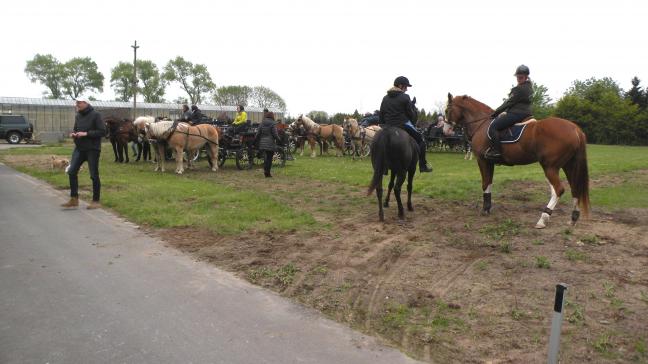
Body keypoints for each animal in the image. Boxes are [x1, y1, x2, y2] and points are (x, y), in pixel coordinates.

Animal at [446, 93, 588, 228]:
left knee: (558, 189)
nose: (446, 131)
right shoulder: (489, 162)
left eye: (447, 110)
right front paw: (488, 207)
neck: (482, 124)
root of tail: (575, 129)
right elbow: (489, 183)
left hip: (550, 167)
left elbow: (485, 183)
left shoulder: (482, 160)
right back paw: (573, 218)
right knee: (575, 188)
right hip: (569, 166)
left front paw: (485, 209)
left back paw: (543, 218)